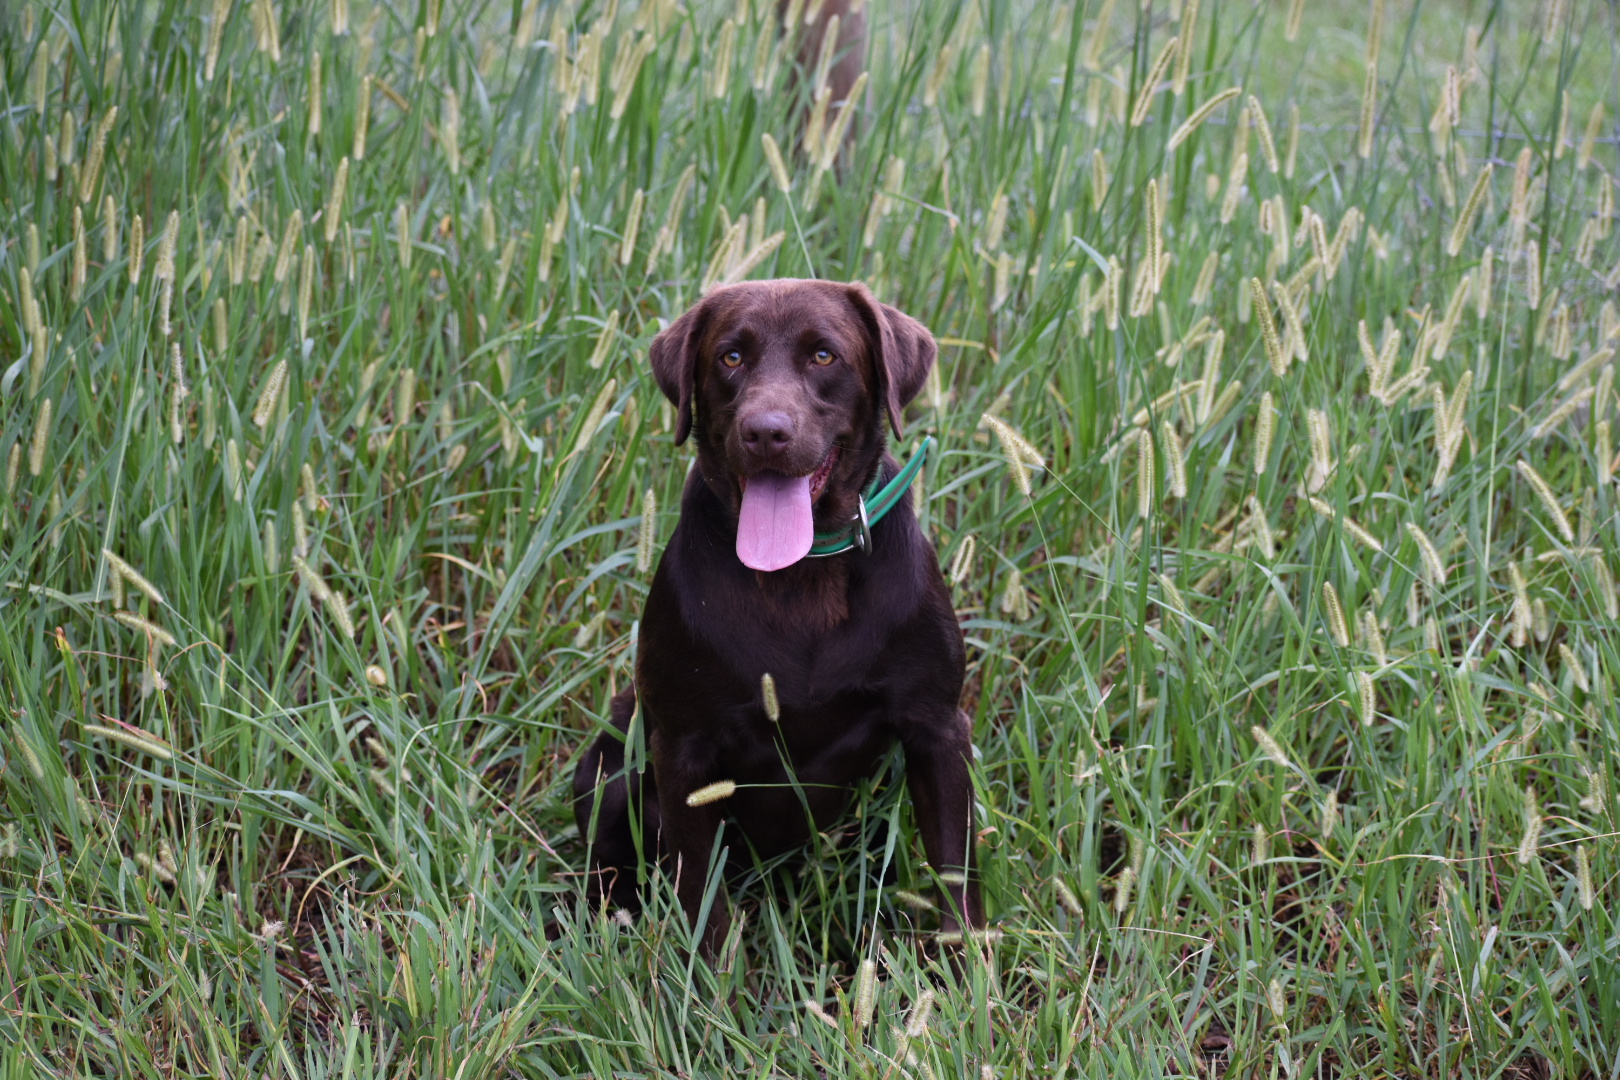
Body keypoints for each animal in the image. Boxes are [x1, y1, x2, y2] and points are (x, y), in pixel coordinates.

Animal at [576, 276, 978, 952]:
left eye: (824, 355)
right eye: (730, 357)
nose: (766, 431)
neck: (801, 573)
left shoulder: (937, 729)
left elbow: (955, 878)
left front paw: (964, 971)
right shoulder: (683, 749)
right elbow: (700, 896)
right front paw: (707, 979)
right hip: (613, 770)